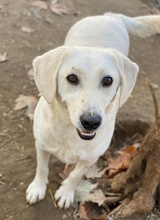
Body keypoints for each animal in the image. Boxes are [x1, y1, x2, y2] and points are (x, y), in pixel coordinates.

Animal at [26, 12, 160, 209]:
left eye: (108, 80)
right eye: (72, 78)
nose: (91, 122)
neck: (69, 131)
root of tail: (109, 15)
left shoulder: (91, 159)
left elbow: (75, 176)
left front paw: (66, 192)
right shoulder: (41, 145)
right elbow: (41, 168)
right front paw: (38, 188)